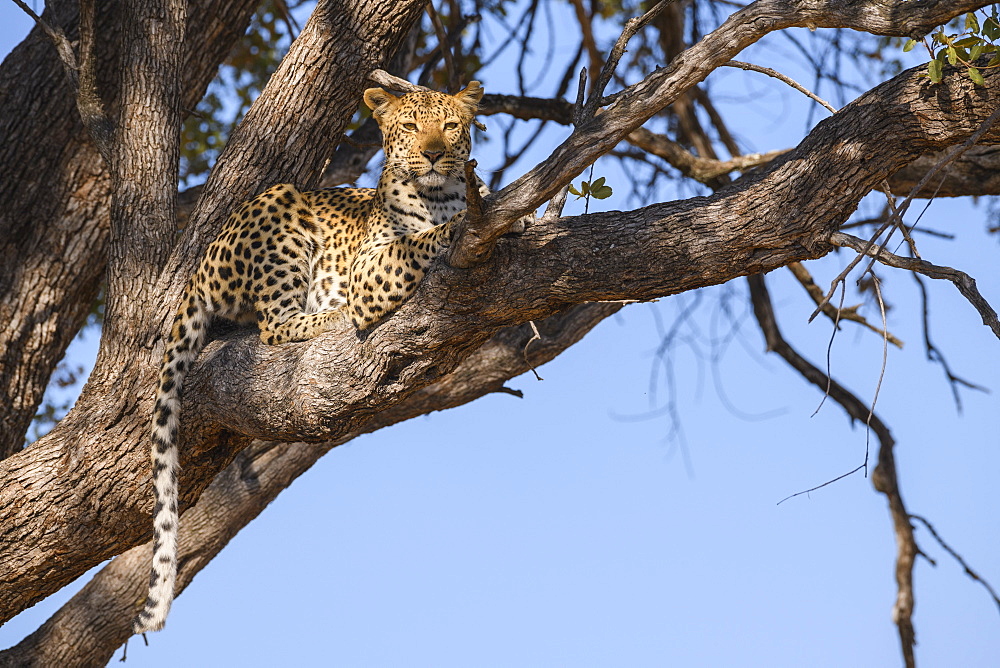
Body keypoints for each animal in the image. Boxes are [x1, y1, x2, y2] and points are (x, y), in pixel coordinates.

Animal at [131, 81, 524, 636]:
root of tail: (197, 270)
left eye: (450, 126)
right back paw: (334, 316)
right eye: (409, 126)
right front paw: (469, 222)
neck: (442, 196)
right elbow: (420, 240)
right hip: (282, 207)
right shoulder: (370, 267)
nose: (432, 154)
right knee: (276, 324)